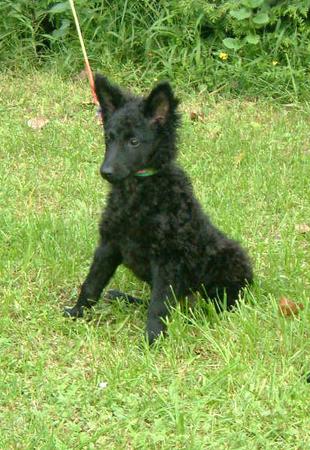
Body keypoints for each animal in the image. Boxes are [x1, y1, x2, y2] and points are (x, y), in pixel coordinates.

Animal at [64, 75, 253, 342]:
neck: (137, 191)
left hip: (231, 262)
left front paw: (152, 340)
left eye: (133, 141)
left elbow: (158, 306)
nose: (106, 172)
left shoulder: (168, 260)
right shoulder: (108, 245)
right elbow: (92, 284)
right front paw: (77, 312)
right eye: (109, 138)